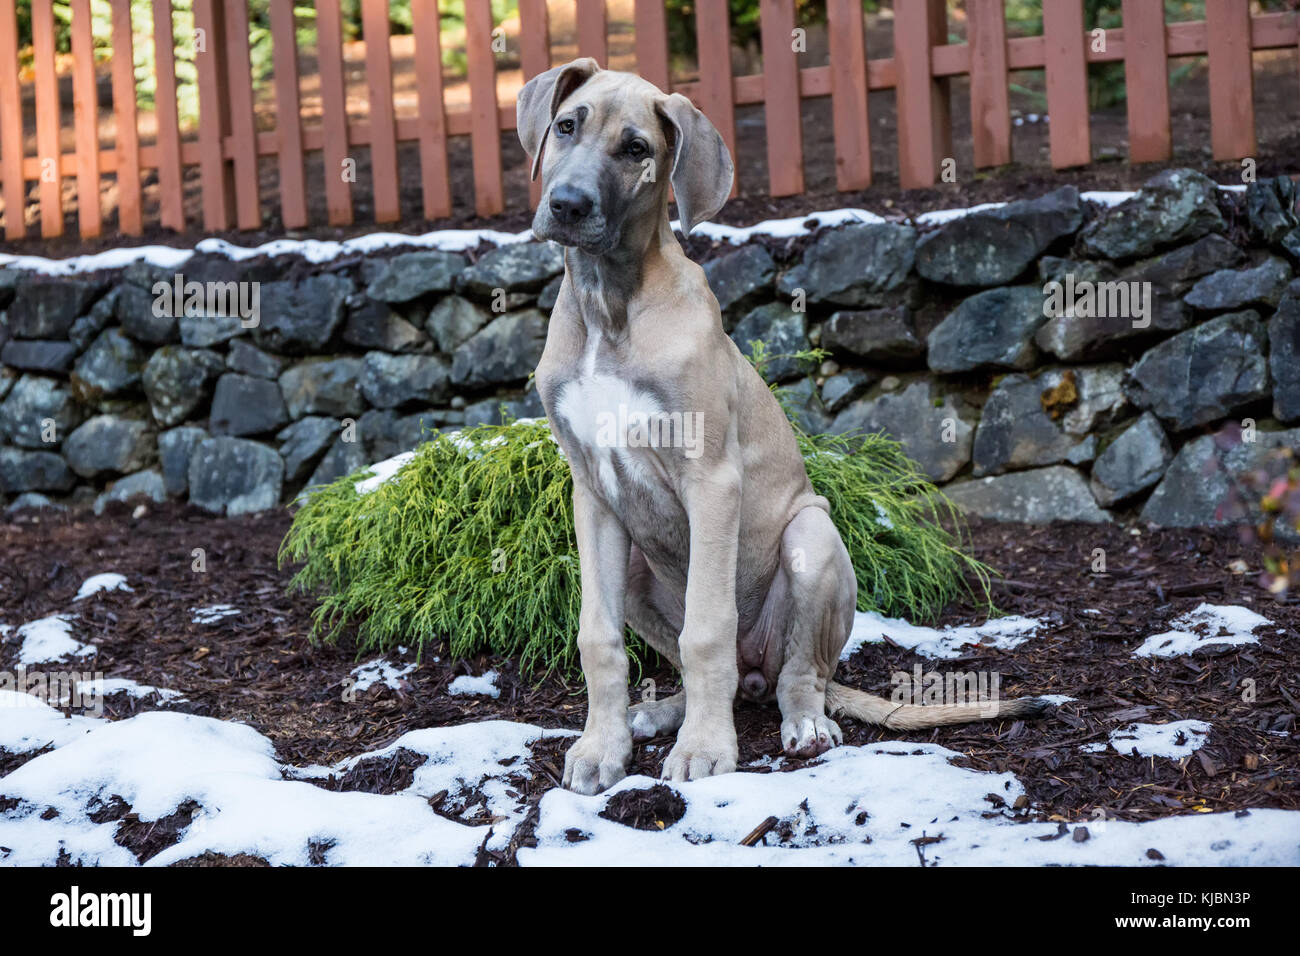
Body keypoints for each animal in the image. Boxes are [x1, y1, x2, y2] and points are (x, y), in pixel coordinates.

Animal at [514, 55, 1045, 796]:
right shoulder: (592, 491)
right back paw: (666, 710)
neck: (608, 307)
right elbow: (599, 635)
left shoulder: (712, 480)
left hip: (811, 539)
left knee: (799, 674)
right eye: (566, 126)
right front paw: (602, 747)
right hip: (644, 567)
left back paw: (803, 724)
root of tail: (758, 673)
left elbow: (707, 629)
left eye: (636, 148)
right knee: (717, 669)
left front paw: (704, 749)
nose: (567, 205)